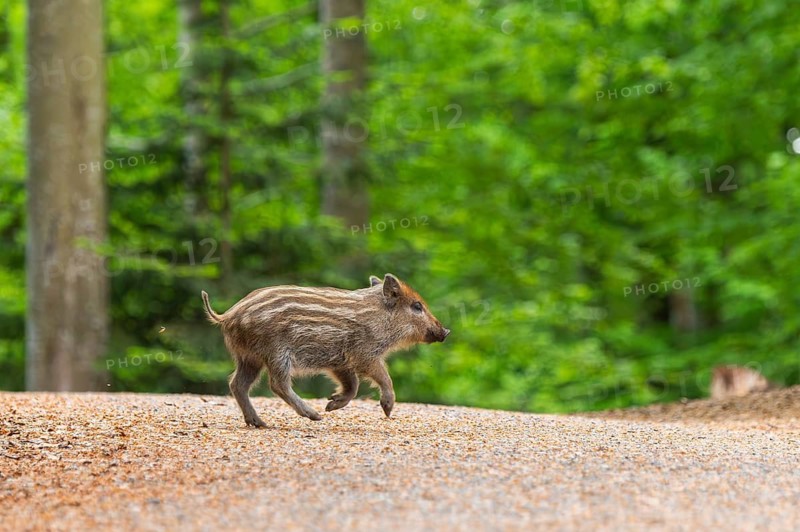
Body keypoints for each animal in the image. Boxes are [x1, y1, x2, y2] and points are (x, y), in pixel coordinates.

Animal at [201, 273, 450, 427]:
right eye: (417, 306)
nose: (446, 331)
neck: (380, 318)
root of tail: (228, 315)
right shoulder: (364, 354)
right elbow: (382, 377)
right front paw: (387, 410)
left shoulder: (339, 361)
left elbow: (353, 386)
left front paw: (331, 404)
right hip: (276, 353)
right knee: (277, 384)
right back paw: (314, 416)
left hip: (249, 358)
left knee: (238, 384)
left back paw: (259, 423)